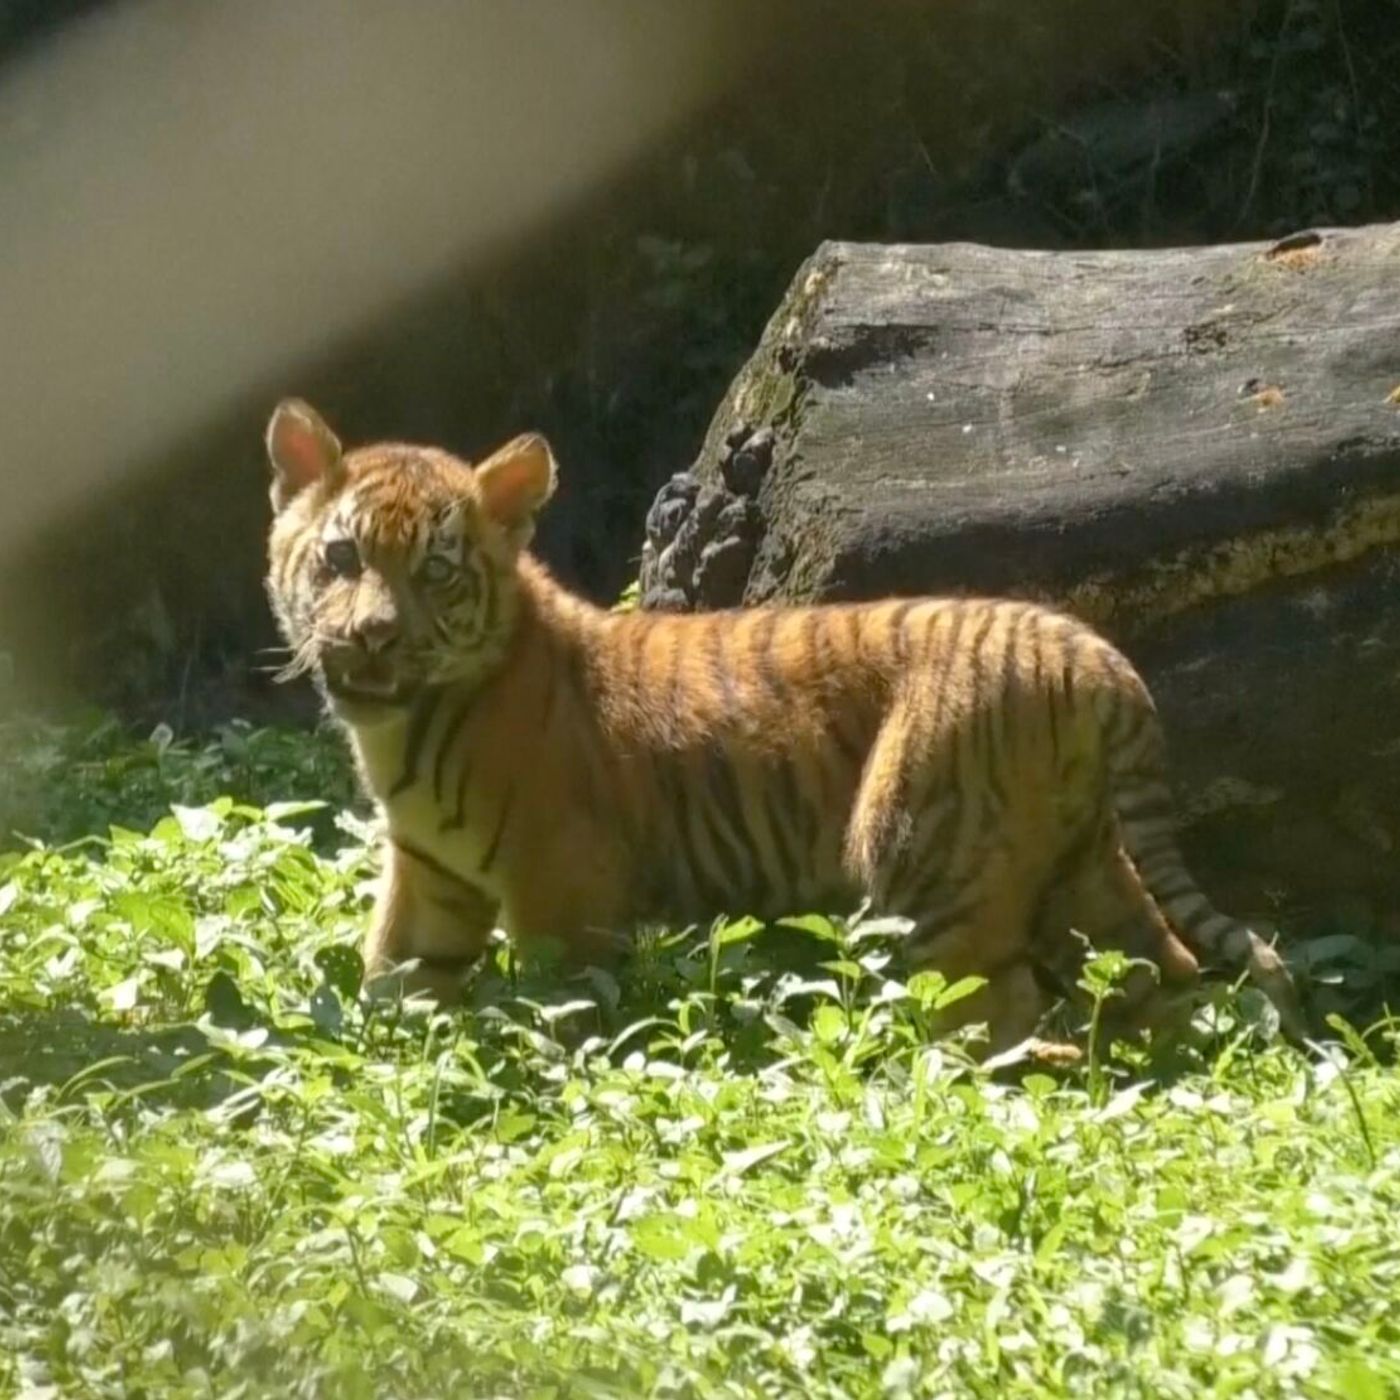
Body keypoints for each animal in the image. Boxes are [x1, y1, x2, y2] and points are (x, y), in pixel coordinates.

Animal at [261, 398, 1306, 1055]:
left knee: (988, 1007)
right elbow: (392, 983)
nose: (371, 635)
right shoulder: (429, 880)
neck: (406, 728)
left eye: (435, 572)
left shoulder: (565, 891)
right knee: (1161, 972)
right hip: (1084, 867)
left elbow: (562, 1012)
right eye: (343, 558)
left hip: (924, 856)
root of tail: (1091, 652)